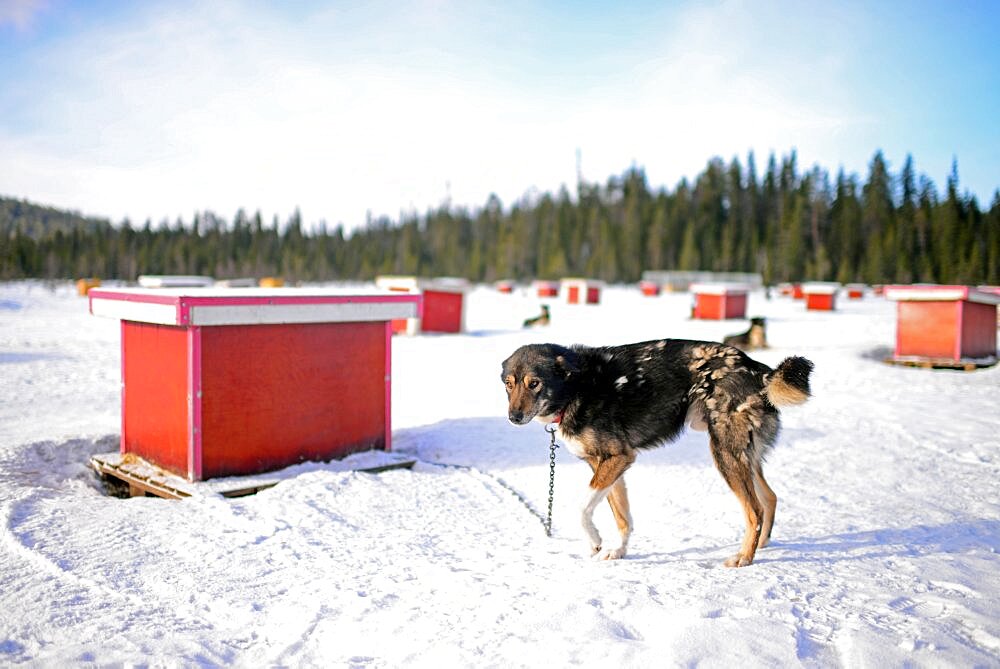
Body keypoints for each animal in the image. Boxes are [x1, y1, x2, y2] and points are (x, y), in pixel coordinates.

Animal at [500, 340, 812, 564]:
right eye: (508, 384)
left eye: (534, 383)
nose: (513, 417)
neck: (577, 387)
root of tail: (759, 370)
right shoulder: (607, 465)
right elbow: (622, 517)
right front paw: (617, 551)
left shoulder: (617, 458)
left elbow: (581, 508)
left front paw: (595, 540)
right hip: (742, 455)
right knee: (770, 497)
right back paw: (762, 545)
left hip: (724, 453)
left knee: (754, 510)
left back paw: (744, 557)